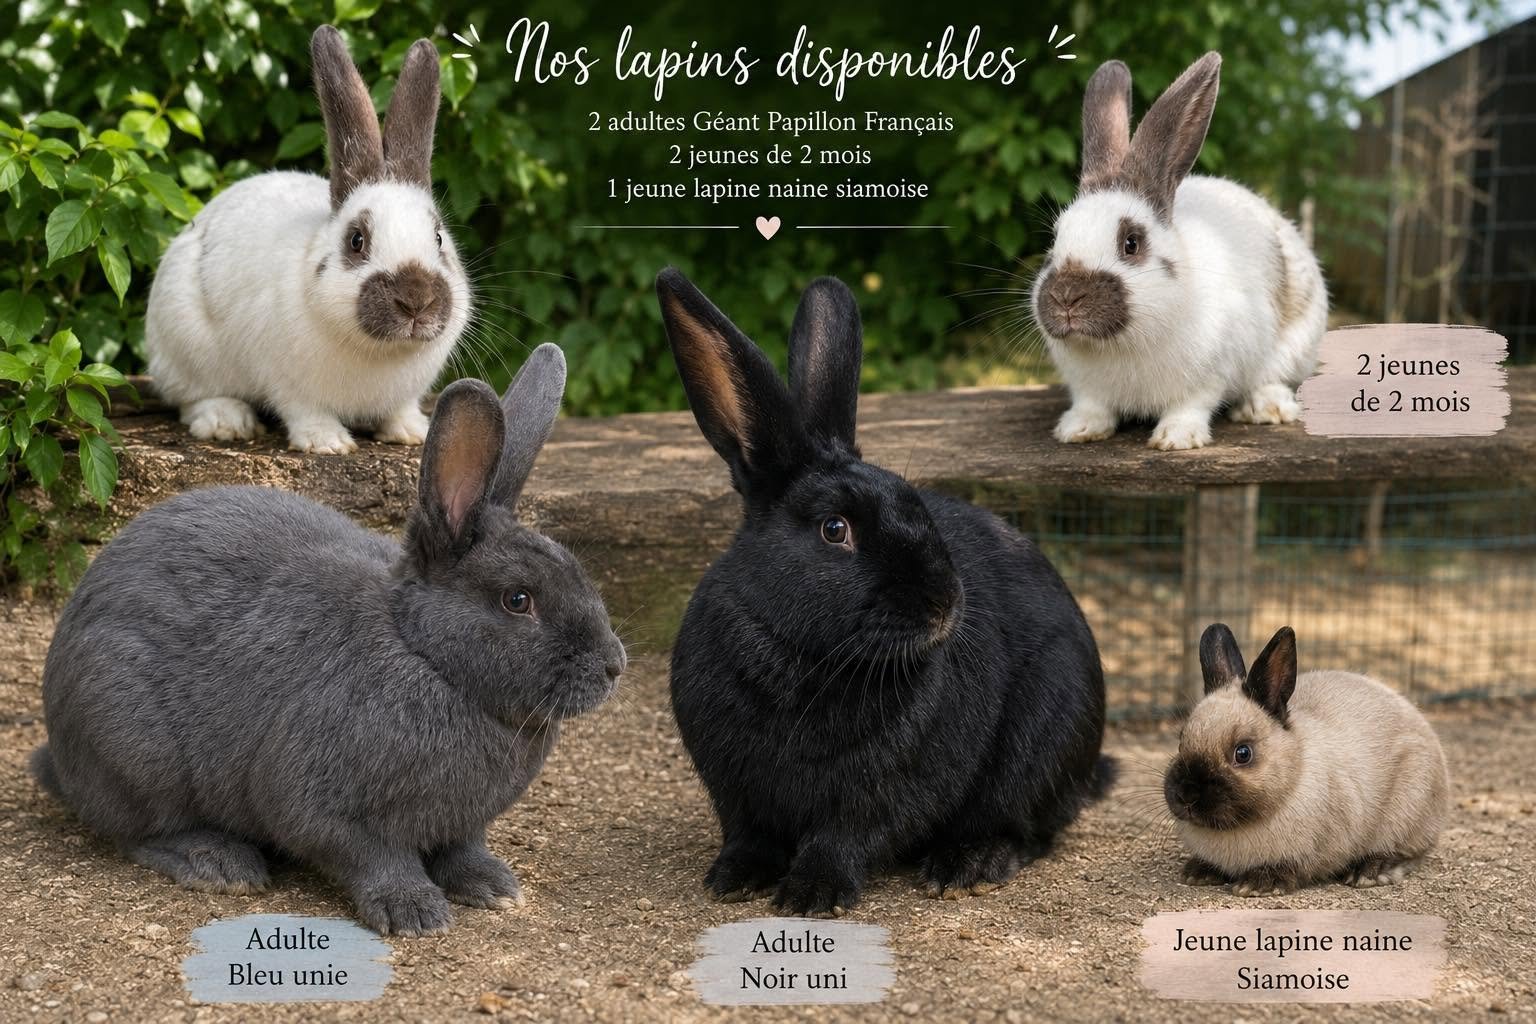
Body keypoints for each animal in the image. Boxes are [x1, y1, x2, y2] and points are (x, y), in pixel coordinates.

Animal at [30, 345, 626, 936]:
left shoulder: (463, 823)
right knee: (137, 830)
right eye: (518, 600)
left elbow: (463, 848)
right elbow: (371, 855)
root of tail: (59, 755)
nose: (613, 666)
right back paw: (219, 864)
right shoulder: (318, 804)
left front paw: (495, 887)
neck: (422, 652)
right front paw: (415, 913)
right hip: (133, 749)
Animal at [144, 25, 471, 454]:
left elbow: (400, 409)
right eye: (356, 240)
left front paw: (412, 432)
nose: (416, 301)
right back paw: (227, 422)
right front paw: (327, 443)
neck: (380, 351)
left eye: (437, 238)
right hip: (186, 349)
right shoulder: (288, 383)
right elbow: (304, 411)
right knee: (192, 398)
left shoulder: (403, 393)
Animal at [656, 267, 1112, 916]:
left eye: (915, 503)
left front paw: (811, 896)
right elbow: (750, 835)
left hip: (1048, 734)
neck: (805, 659)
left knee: (1028, 829)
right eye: (834, 529)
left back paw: (965, 865)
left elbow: (844, 836)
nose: (945, 605)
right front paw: (734, 878)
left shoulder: (885, 789)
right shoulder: (735, 790)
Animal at [1030, 52, 1327, 451]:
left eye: (1131, 242)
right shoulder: (1087, 387)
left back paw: (1265, 409)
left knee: (1276, 378)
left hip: (1297, 342)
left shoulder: (1211, 373)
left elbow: (1191, 405)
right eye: (1054, 238)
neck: (1121, 344)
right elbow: (1092, 405)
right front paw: (1077, 430)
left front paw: (1176, 438)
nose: (1066, 297)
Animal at [1165, 624, 1450, 896]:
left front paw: (1259, 885)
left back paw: (1370, 872)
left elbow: (1297, 867)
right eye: (1181, 740)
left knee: (1407, 852)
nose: (1186, 795)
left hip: (1408, 809)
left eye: (1242, 753)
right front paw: (1197, 873)